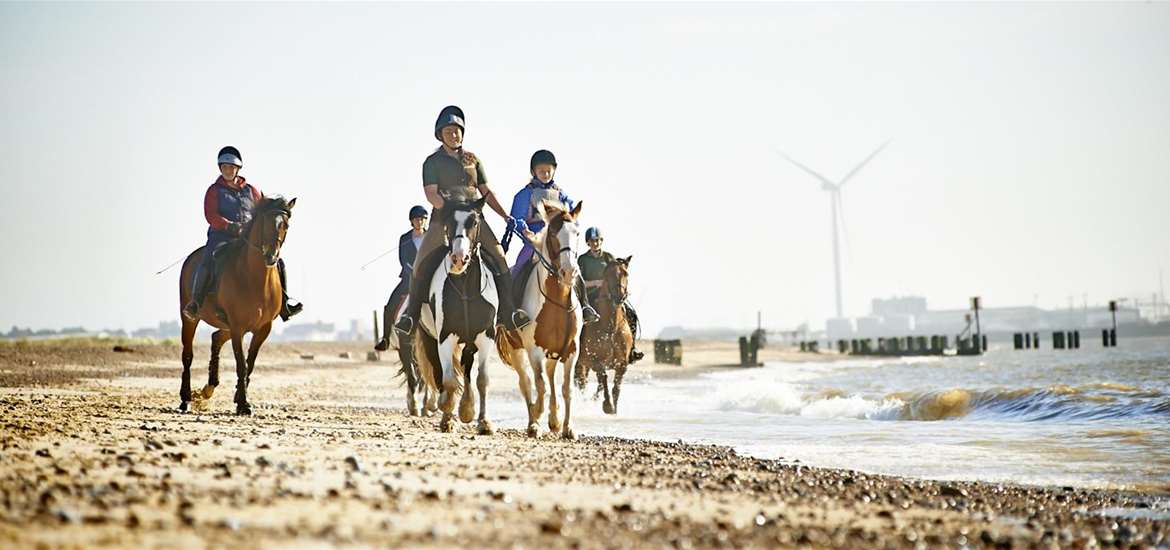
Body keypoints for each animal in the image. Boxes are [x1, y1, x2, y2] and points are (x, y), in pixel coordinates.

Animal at [177, 195, 299, 414]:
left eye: (286, 224)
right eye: (265, 222)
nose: (271, 256)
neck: (255, 279)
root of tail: (191, 258)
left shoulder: (262, 328)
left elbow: (250, 363)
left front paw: (239, 397)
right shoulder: (237, 327)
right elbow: (241, 363)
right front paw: (243, 404)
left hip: (228, 325)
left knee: (216, 337)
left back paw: (209, 387)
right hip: (190, 319)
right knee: (187, 355)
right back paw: (185, 399)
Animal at [409, 197, 505, 432]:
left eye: (475, 221)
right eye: (448, 223)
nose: (459, 259)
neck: (466, 289)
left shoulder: (485, 337)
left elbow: (482, 380)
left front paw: (483, 422)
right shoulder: (445, 337)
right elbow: (449, 380)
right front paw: (447, 417)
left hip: (469, 341)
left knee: (468, 368)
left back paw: (466, 408)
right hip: (430, 337)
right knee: (439, 373)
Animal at [498, 201, 585, 437]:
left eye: (577, 232)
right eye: (554, 233)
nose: (569, 272)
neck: (556, 300)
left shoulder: (571, 349)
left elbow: (566, 388)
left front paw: (567, 428)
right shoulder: (533, 349)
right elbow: (540, 385)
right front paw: (537, 414)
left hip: (554, 352)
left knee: (551, 377)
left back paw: (554, 420)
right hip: (516, 350)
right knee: (526, 382)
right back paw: (533, 422)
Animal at [573, 255, 631, 414]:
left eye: (626, 273)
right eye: (608, 274)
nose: (620, 297)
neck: (611, 327)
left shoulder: (622, 364)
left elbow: (616, 387)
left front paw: (614, 409)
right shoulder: (595, 361)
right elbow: (603, 377)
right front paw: (607, 406)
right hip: (581, 362)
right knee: (582, 382)